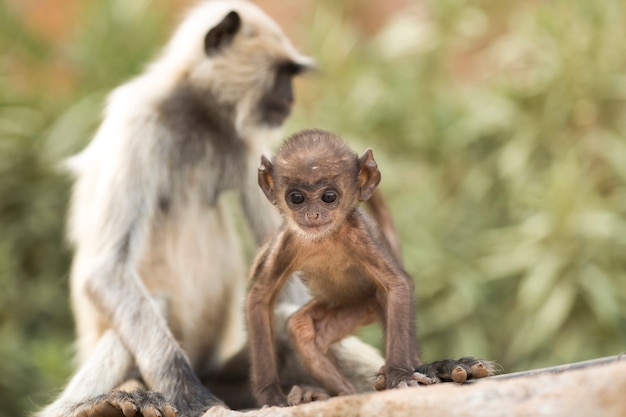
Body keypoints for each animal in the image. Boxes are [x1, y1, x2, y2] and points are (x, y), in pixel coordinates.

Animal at [37, 2, 390, 416]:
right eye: (282, 75)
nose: (289, 97)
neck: (199, 112)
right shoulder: (139, 121)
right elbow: (104, 270)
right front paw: (192, 398)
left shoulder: (247, 143)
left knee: (282, 320)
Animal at [245, 128, 492, 404]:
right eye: (296, 198)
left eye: (328, 197)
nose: (312, 215)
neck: (325, 238)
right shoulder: (288, 241)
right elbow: (260, 298)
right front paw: (270, 393)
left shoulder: (360, 234)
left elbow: (397, 285)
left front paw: (399, 375)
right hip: (347, 306)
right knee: (301, 328)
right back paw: (338, 392)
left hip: (364, 305)